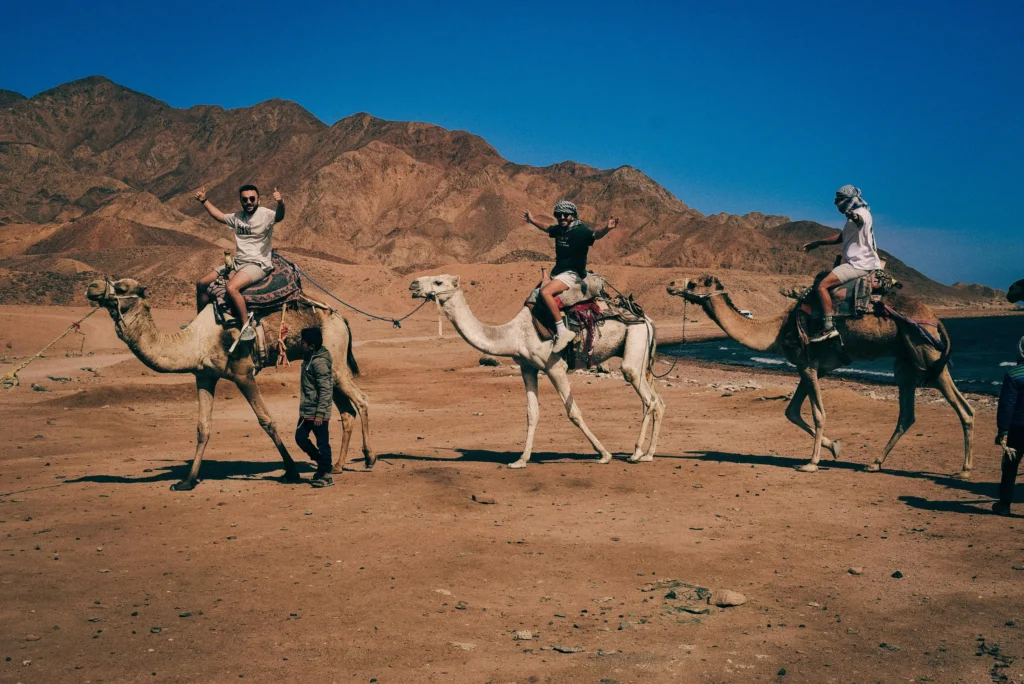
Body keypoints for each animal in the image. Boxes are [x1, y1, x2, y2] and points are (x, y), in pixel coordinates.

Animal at [85, 277, 374, 490]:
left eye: (122, 288)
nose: (92, 286)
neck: (196, 341)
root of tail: (341, 318)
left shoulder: (243, 373)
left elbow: (267, 420)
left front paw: (291, 470)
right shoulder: (204, 375)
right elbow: (203, 428)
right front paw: (187, 481)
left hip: (336, 359)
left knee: (361, 400)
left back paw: (369, 457)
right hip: (328, 366)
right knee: (346, 411)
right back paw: (337, 466)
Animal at [409, 274, 665, 468]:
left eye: (439, 281)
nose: (413, 285)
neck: (514, 335)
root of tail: (646, 318)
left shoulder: (555, 367)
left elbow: (573, 412)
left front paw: (604, 454)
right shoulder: (528, 367)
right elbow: (532, 413)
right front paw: (521, 460)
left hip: (635, 341)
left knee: (646, 395)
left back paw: (636, 453)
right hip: (641, 354)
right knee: (657, 401)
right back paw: (649, 454)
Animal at [667, 275, 974, 477]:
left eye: (693, 283)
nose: (670, 285)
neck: (776, 330)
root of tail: (935, 318)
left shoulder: (808, 366)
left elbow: (818, 413)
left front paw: (812, 462)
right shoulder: (810, 367)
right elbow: (791, 411)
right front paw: (834, 447)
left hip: (925, 353)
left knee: (963, 409)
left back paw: (964, 470)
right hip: (907, 362)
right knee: (908, 414)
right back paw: (874, 463)